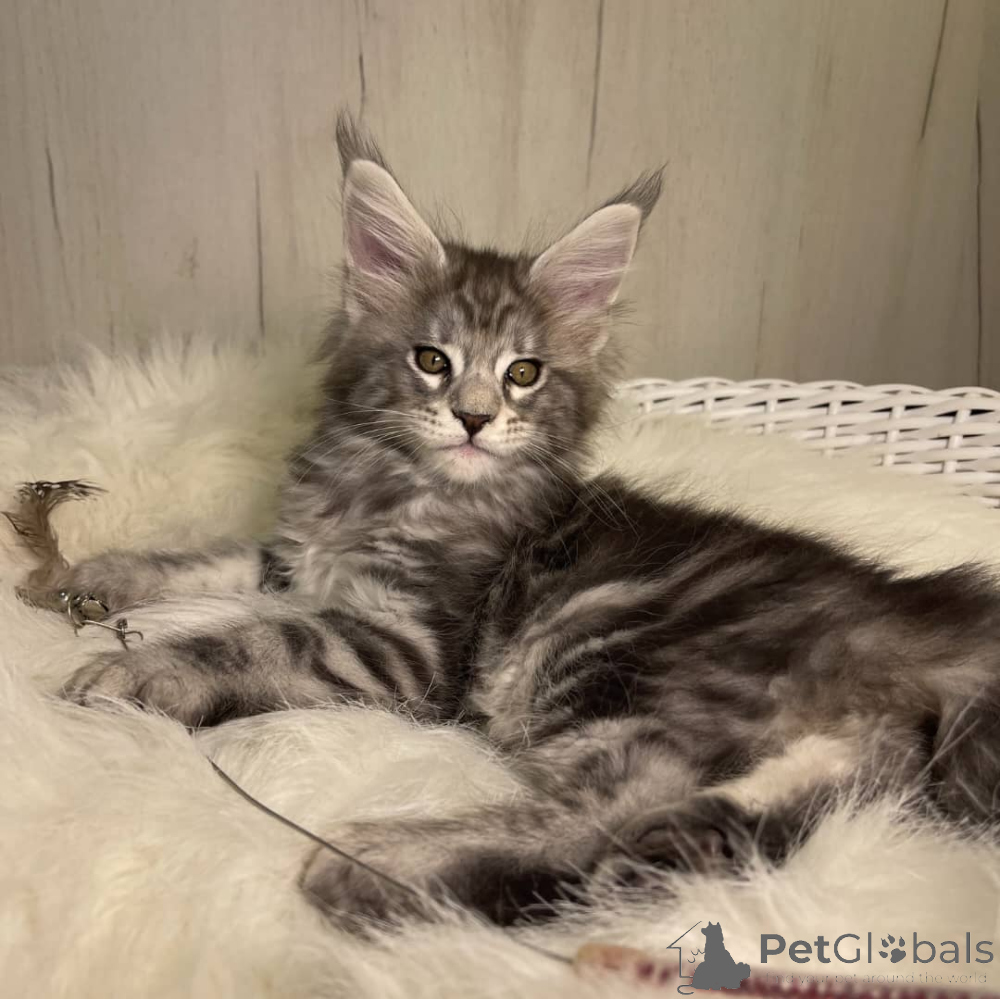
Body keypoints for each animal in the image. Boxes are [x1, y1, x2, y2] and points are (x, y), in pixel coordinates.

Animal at [42, 114, 1000, 929]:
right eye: (432, 360)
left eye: (524, 374)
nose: (473, 418)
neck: (388, 484)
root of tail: (908, 613)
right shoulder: (297, 556)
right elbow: (214, 560)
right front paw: (102, 574)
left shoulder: (407, 646)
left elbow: (254, 638)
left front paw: (135, 672)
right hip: (823, 755)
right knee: (753, 818)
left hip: (616, 645)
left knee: (617, 796)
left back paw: (381, 863)